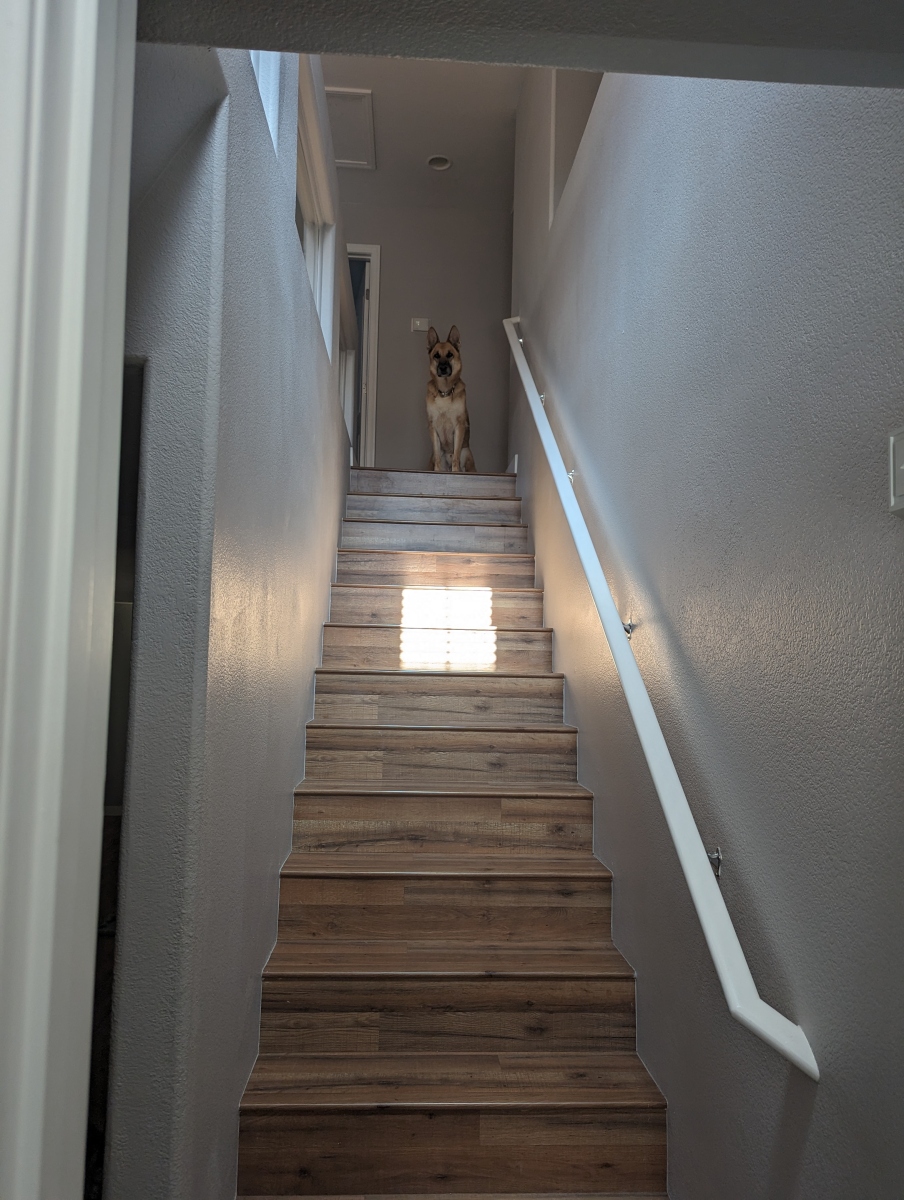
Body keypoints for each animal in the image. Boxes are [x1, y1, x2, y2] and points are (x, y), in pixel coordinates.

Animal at [425, 325, 476, 473]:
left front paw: (456, 471)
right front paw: (437, 471)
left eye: (449, 355)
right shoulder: (433, 427)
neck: (445, 392)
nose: (442, 368)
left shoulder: (459, 426)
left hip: (467, 453)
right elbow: (437, 454)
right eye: (436, 356)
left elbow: (456, 454)